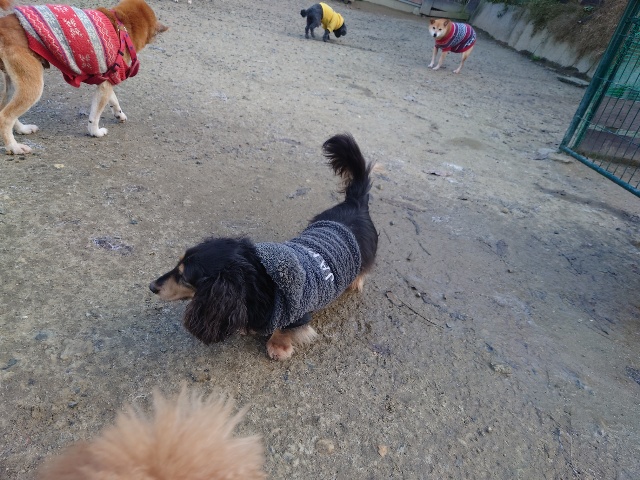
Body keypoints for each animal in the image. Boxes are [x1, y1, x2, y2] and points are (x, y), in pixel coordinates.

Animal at [0, 0, 167, 155]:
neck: (122, 26)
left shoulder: (107, 81)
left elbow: (113, 99)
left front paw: (119, 114)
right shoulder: (106, 85)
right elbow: (95, 115)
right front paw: (95, 132)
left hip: (15, 84)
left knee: (5, 110)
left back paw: (22, 129)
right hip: (33, 86)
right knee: (5, 117)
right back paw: (13, 147)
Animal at [149, 133, 378, 361]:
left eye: (184, 276)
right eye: (176, 265)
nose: (152, 286)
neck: (261, 280)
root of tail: (355, 203)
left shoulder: (297, 313)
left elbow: (284, 329)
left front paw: (278, 346)